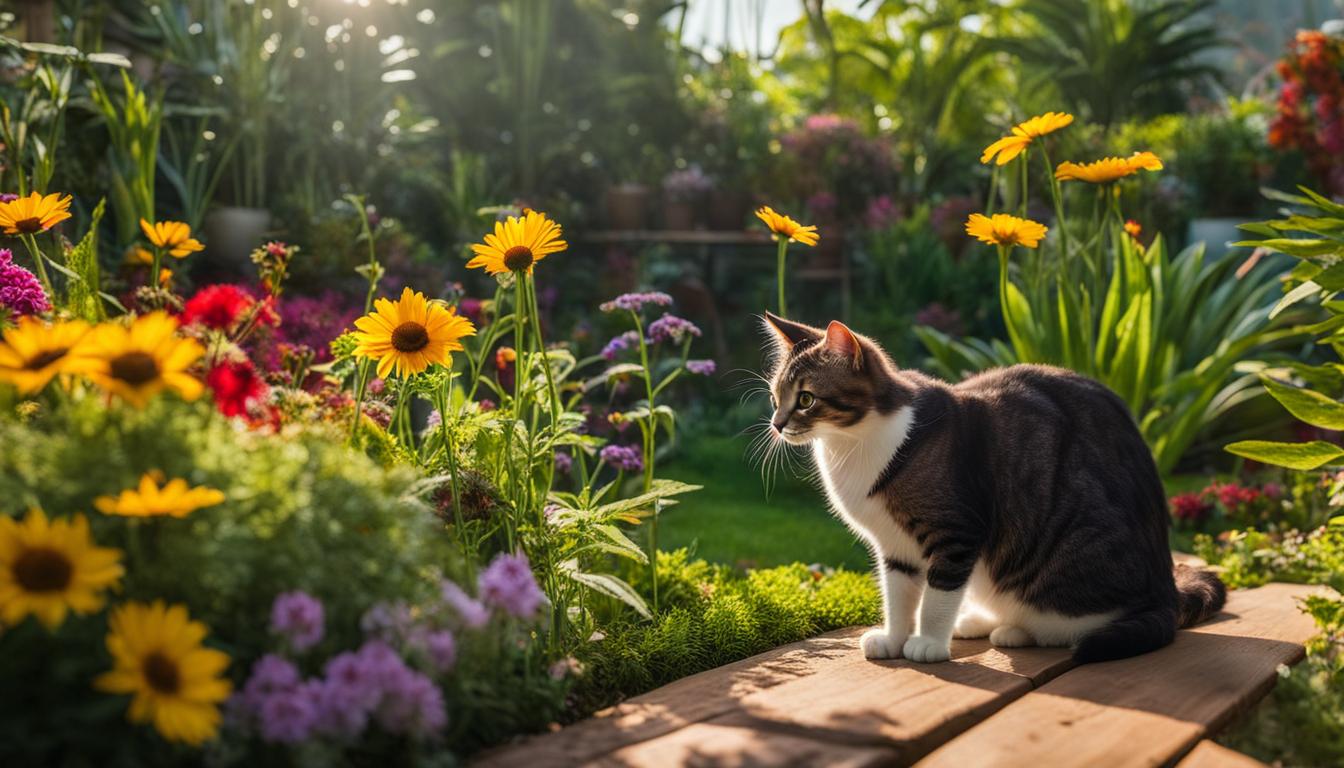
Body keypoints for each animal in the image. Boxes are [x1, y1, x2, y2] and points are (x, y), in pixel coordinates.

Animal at [763, 309, 1225, 664]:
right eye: (774, 397)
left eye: (806, 399)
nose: (777, 424)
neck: (853, 444)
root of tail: (1166, 590)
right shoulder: (894, 546)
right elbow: (899, 596)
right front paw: (894, 639)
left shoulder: (956, 530)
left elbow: (937, 596)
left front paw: (928, 643)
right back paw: (981, 621)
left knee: (1076, 622)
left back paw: (1016, 631)